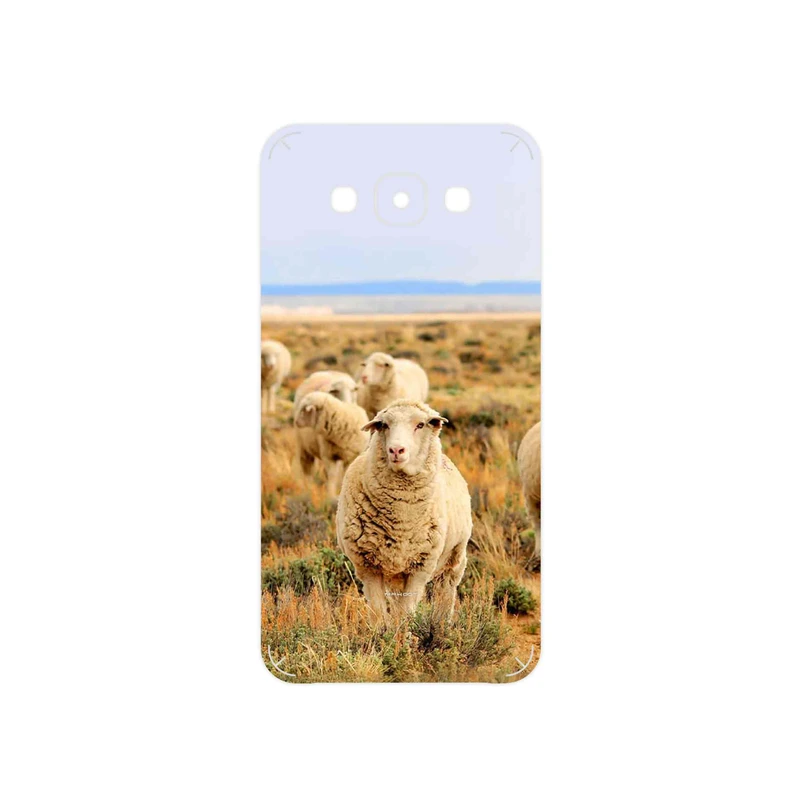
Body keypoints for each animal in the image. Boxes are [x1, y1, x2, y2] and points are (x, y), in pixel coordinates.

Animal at [336, 399, 472, 623]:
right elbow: (379, 613)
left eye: (421, 425)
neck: (401, 518)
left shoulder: (420, 566)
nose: (396, 450)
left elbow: (406, 613)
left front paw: (405, 632)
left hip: (454, 558)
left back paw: (442, 624)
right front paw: (383, 632)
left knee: (445, 591)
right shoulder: (367, 566)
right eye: (384, 425)